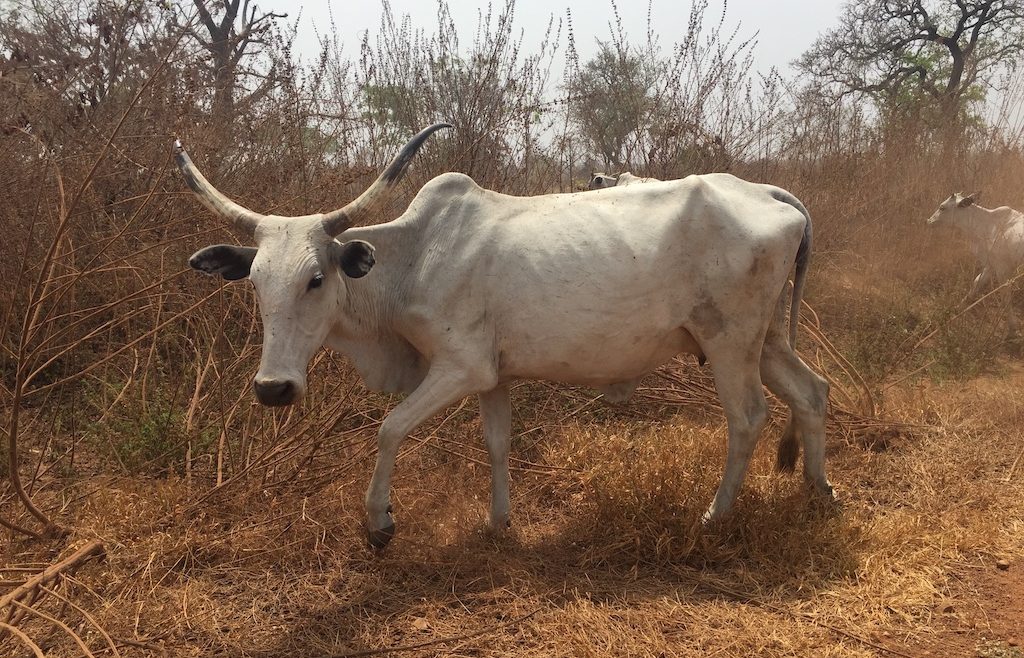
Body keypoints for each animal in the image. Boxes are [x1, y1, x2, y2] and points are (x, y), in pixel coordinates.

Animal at [178, 123, 831, 552]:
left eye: (316, 278)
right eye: (256, 282)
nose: (274, 388)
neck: (413, 257)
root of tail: (771, 194)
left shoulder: (460, 367)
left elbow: (390, 428)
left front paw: (380, 522)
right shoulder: (495, 376)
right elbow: (496, 443)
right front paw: (498, 523)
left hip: (730, 343)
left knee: (747, 416)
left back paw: (716, 517)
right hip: (766, 340)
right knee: (811, 392)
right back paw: (818, 490)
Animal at [929, 191, 1024, 335]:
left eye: (942, 207)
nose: (929, 221)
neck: (987, 225)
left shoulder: (1002, 268)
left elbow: (1005, 297)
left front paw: (1013, 327)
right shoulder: (990, 265)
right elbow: (976, 283)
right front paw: (958, 307)